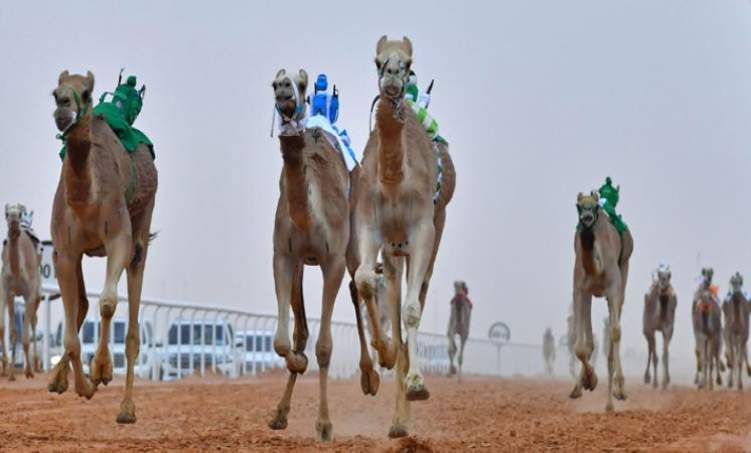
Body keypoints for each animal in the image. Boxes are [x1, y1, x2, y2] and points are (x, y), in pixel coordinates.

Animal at [49, 70, 158, 424]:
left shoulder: (118, 240)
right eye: (55, 92)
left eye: (86, 92)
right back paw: (59, 379)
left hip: (142, 225)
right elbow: (70, 333)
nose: (63, 108)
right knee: (82, 304)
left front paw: (101, 370)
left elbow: (108, 303)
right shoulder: (64, 251)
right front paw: (82, 385)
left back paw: (126, 408)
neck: (86, 200)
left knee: (133, 331)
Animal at [354, 33, 458, 436]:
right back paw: (398, 423)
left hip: (434, 235)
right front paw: (382, 354)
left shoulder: (423, 229)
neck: (394, 180)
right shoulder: (370, 226)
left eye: (409, 63)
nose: (393, 78)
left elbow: (412, 311)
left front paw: (418, 385)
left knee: (419, 299)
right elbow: (364, 280)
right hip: (394, 252)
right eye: (376, 60)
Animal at [568, 189, 636, 412]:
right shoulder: (579, 289)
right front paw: (589, 381)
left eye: (596, 206)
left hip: (624, 271)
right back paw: (580, 386)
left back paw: (612, 400)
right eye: (578, 206)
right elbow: (580, 345)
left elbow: (615, 332)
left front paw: (620, 389)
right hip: (591, 293)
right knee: (590, 341)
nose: (587, 218)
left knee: (613, 336)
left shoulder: (613, 288)